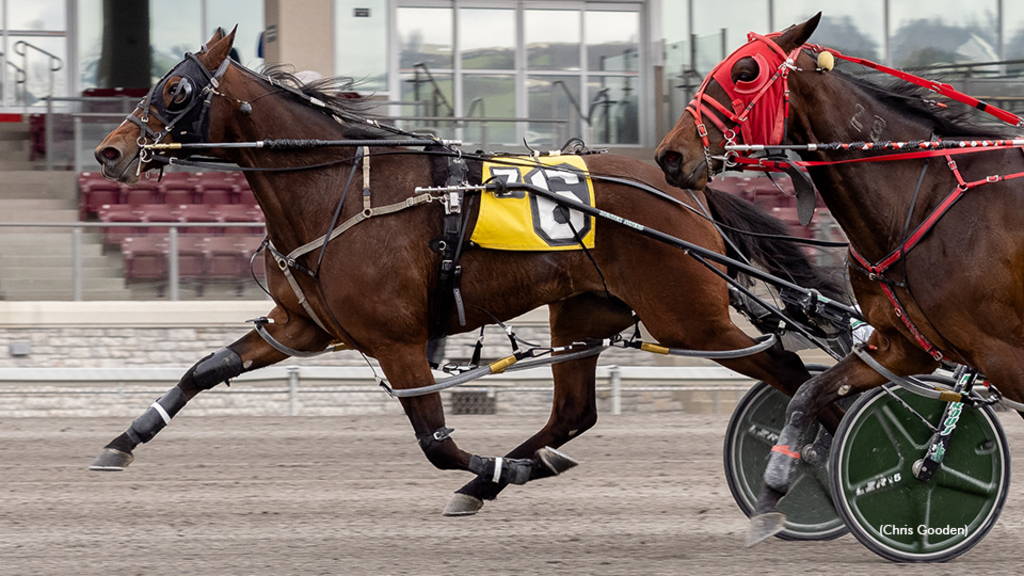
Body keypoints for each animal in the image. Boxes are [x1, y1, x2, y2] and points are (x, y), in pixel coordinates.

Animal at [90, 26, 839, 512]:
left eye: (176, 89)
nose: (109, 151)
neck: (342, 187)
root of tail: (684, 185)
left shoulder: (396, 341)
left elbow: (436, 443)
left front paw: (494, 465)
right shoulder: (301, 324)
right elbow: (203, 370)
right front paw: (123, 440)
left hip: (690, 318)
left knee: (793, 370)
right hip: (584, 311)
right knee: (573, 414)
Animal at [655, 12, 1024, 541]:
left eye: (745, 71)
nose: (669, 155)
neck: (923, 198)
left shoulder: (1003, 354)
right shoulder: (901, 346)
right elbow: (807, 393)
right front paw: (775, 486)